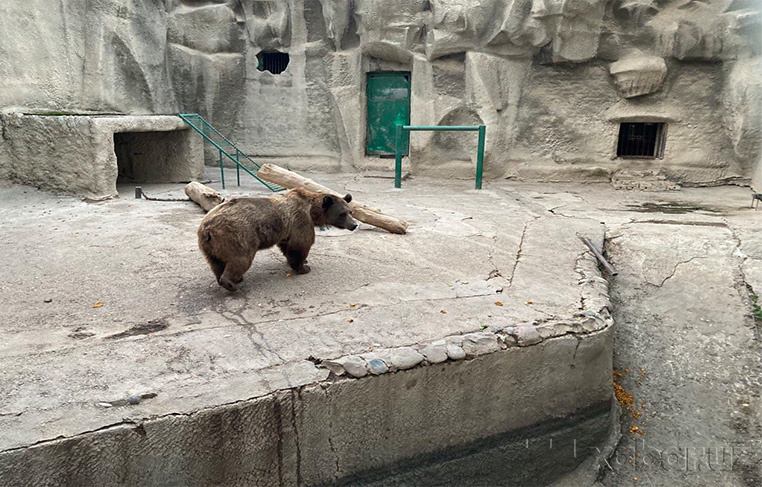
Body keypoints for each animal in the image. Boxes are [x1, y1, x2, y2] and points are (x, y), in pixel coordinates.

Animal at [196, 189, 356, 292]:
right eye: (343, 214)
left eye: (350, 212)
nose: (354, 225)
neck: (312, 212)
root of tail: (207, 228)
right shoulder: (301, 221)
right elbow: (301, 244)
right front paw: (304, 267)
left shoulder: (287, 230)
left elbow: (287, 245)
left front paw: (302, 262)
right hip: (237, 235)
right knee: (240, 259)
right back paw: (232, 284)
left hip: (211, 246)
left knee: (216, 263)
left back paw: (228, 279)